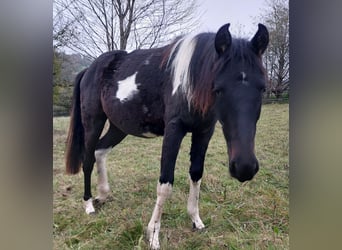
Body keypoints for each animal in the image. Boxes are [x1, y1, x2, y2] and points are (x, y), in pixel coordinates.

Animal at [65, 23, 270, 248]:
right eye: (219, 89)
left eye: (262, 88)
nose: (244, 168)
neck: (190, 81)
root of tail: (89, 70)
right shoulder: (174, 130)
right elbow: (165, 184)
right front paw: (153, 234)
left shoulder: (204, 131)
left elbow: (196, 174)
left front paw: (196, 220)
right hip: (93, 122)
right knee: (88, 159)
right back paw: (88, 204)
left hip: (119, 127)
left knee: (100, 151)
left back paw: (102, 195)